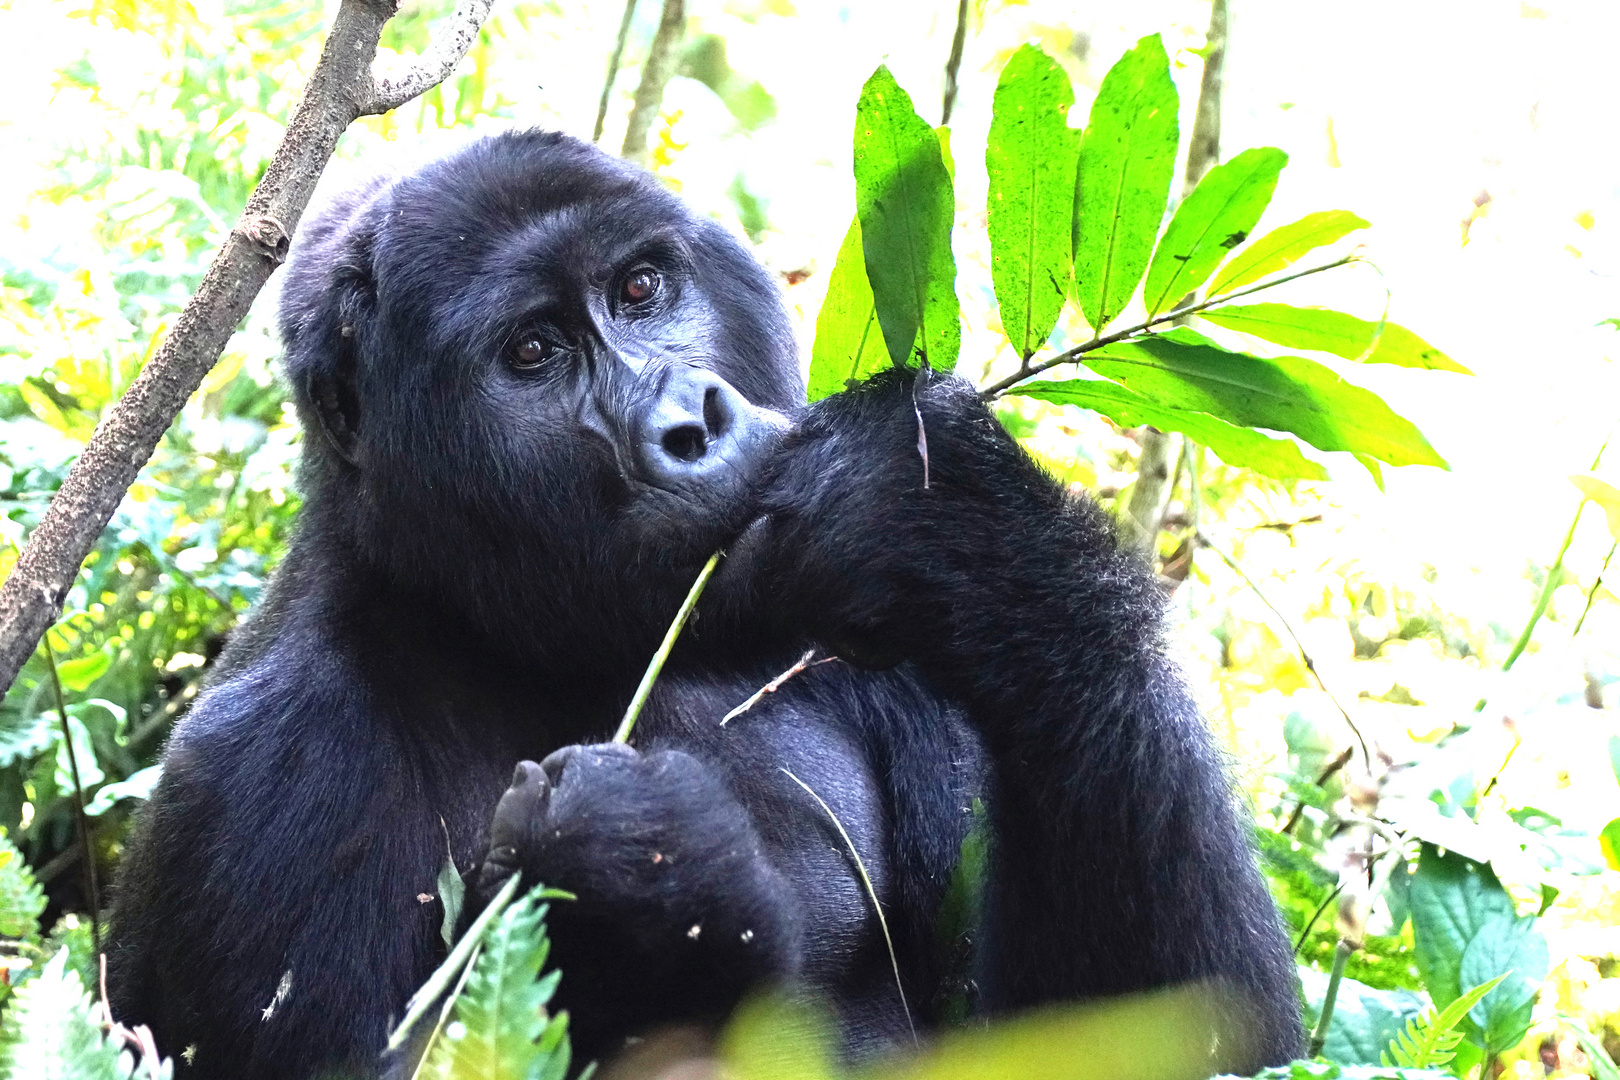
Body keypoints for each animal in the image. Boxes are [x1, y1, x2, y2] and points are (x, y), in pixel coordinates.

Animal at [104, 132, 1302, 1080]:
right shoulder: (256, 778)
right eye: (533, 352)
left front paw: (976, 540)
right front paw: (651, 872)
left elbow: (1162, 1035)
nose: (692, 423)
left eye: (641, 291)